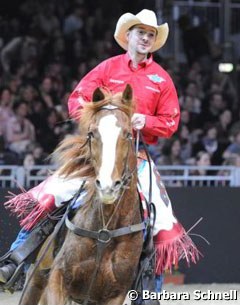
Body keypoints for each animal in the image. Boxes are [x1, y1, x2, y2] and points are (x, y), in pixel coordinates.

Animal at [19, 84, 143, 304]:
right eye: (92, 133)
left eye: (128, 134)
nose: (108, 186)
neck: (105, 231)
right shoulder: (57, 278)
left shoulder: (116, 293)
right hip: (34, 282)